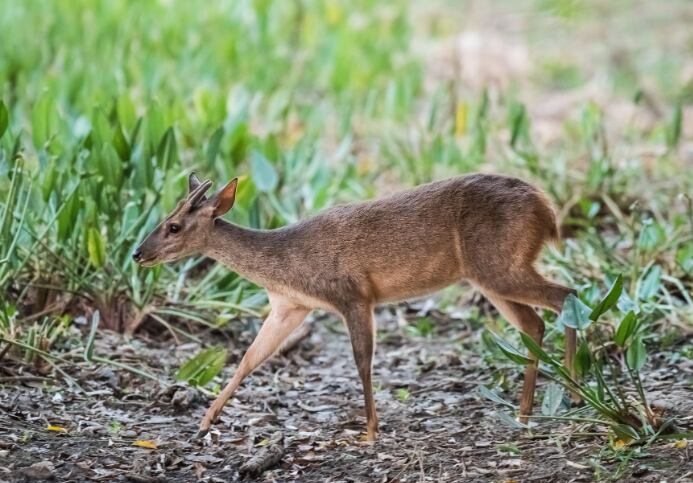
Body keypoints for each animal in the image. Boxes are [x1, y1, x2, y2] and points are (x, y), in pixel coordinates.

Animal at [134, 173, 572, 442]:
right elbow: (248, 359)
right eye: (164, 218)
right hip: (487, 273)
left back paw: (572, 388)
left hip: (498, 264)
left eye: (173, 226)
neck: (285, 265)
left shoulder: (353, 294)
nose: (138, 253)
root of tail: (547, 210)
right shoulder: (290, 307)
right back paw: (525, 412)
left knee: (565, 296)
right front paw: (204, 422)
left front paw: (369, 432)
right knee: (533, 323)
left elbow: (362, 361)